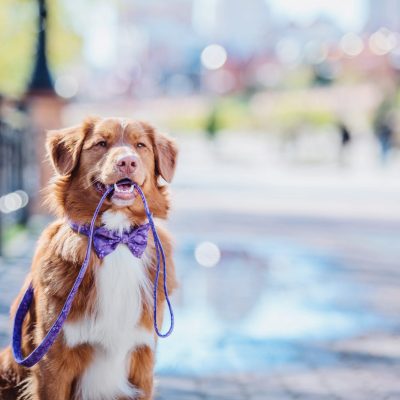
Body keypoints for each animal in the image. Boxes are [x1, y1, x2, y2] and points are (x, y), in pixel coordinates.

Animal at [0, 117, 178, 398]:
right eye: (101, 143)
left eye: (140, 145)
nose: (127, 162)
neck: (117, 240)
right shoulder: (52, 363)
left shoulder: (143, 361)